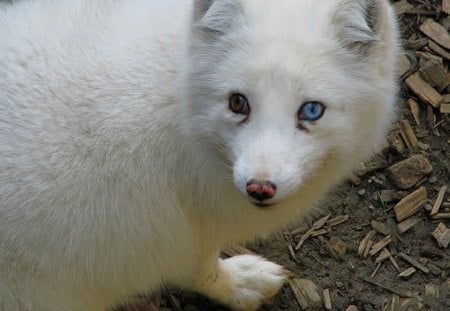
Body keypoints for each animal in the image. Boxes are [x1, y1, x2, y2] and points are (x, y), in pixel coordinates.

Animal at [0, 0, 400, 310]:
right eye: (238, 103)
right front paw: (236, 286)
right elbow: (201, 270)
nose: (260, 187)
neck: (181, 110)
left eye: (312, 111)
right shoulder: (170, 236)